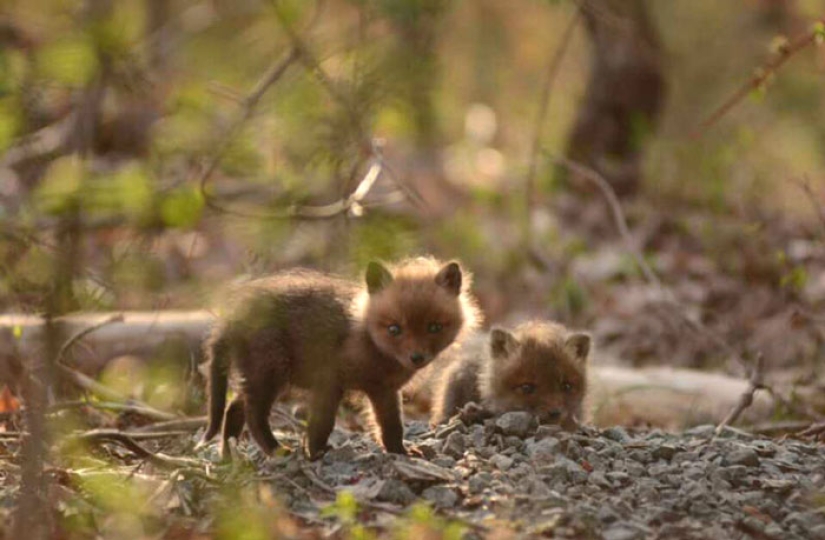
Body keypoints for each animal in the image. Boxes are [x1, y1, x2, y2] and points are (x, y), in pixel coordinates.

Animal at [200, 257, 480, 459]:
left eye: (434, 327)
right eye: (394, 329)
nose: (416, 357)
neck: (368, 340)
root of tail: (233, 318)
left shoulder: (384, 390)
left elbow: (391, 425)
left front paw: (400, 452)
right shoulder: (330, 382)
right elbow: (322, 422)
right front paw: (315, 453)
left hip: (266, 377)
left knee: (234, 408)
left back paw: (228, 456)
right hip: (271, 373)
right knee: (254, 415)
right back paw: (276, 450)